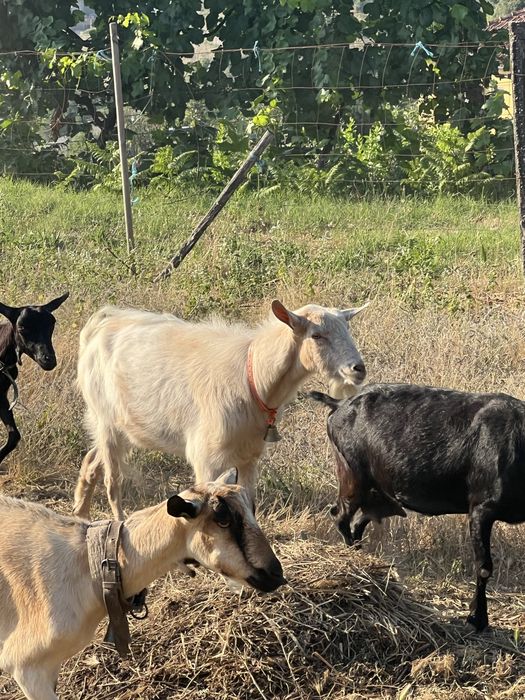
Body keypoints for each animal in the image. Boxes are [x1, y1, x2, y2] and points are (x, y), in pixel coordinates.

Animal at [73, 299, 368, 520]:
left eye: (348, 331)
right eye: (316, 336)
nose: (358, 369)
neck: (254, 375)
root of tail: (100, 323)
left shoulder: (249, 456)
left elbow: (250, 504)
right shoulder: (207, 459)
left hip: (125, 428)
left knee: (92, 461)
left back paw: (81, 513)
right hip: (105, 420)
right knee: (112, 480)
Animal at [310, 383, 525, 632]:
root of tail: (340, 404)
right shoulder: (481, 510)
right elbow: (483, 566)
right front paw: (477, 618)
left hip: (380, 497)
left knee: (359, 522)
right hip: (352, 479)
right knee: (340, 516)